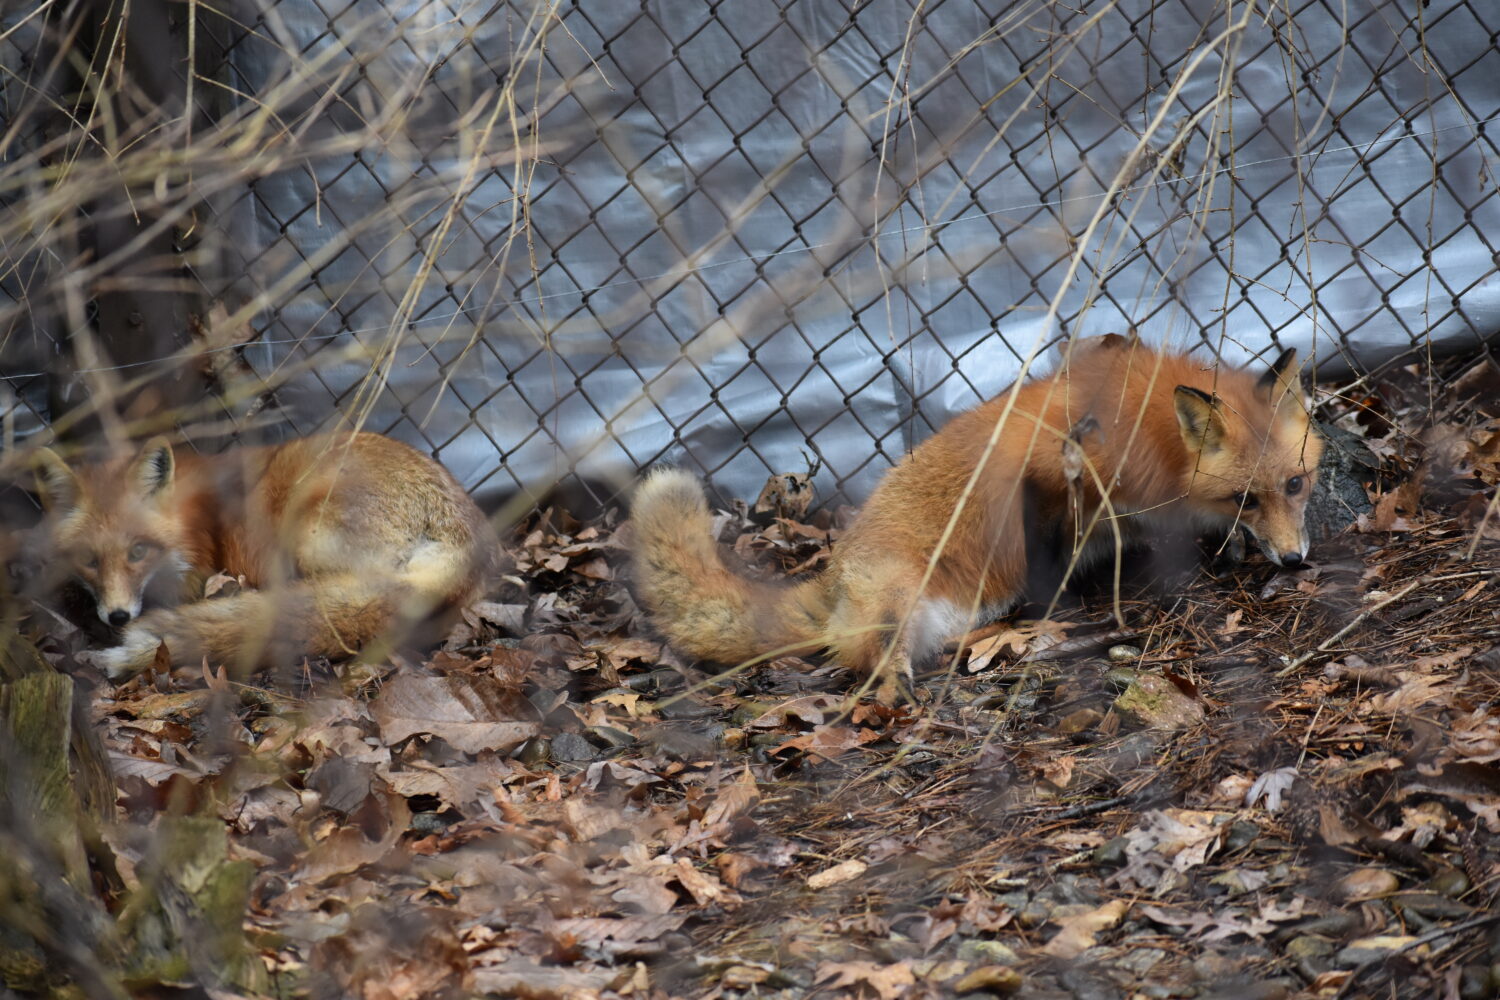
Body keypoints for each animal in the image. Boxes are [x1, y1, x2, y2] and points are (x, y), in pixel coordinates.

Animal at [630, 335, 1326, 704]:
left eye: (1295, 484)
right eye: (1246, 498)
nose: (1295, 561)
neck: (1148, 433)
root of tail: (834, 570)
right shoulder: (1049, 476)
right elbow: (1047, 558)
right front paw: (1059, 611)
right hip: (894, 598)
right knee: (865, 659)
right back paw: (899, 695)